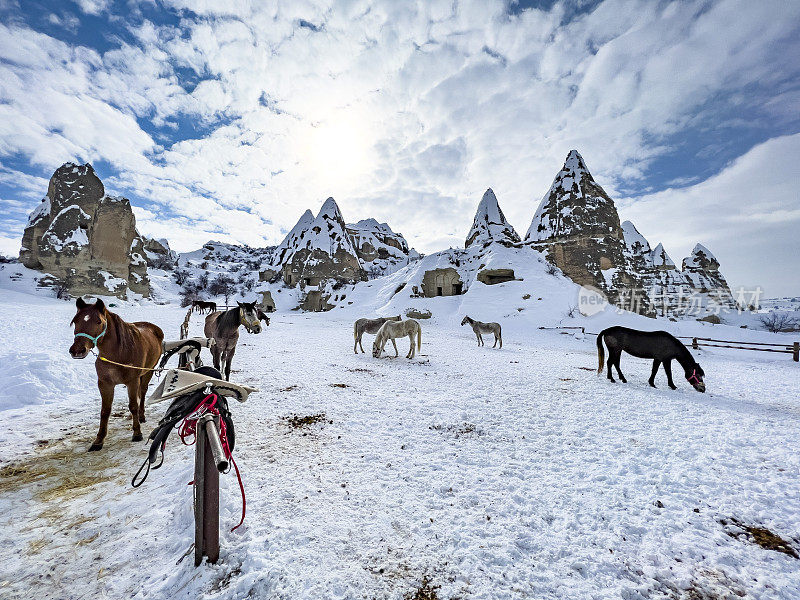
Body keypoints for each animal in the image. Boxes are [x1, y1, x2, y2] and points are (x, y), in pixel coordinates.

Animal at [70, 298, 166, 452]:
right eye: (75, 321)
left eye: (99, 321)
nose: (77, 350)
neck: (118, 353)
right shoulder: (105, 384)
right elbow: (105, 411)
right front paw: (99, 440)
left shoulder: (132, 381)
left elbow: (133, 406)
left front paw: (137, 433)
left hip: (148, 371)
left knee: (142, 392)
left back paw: (141, 416)